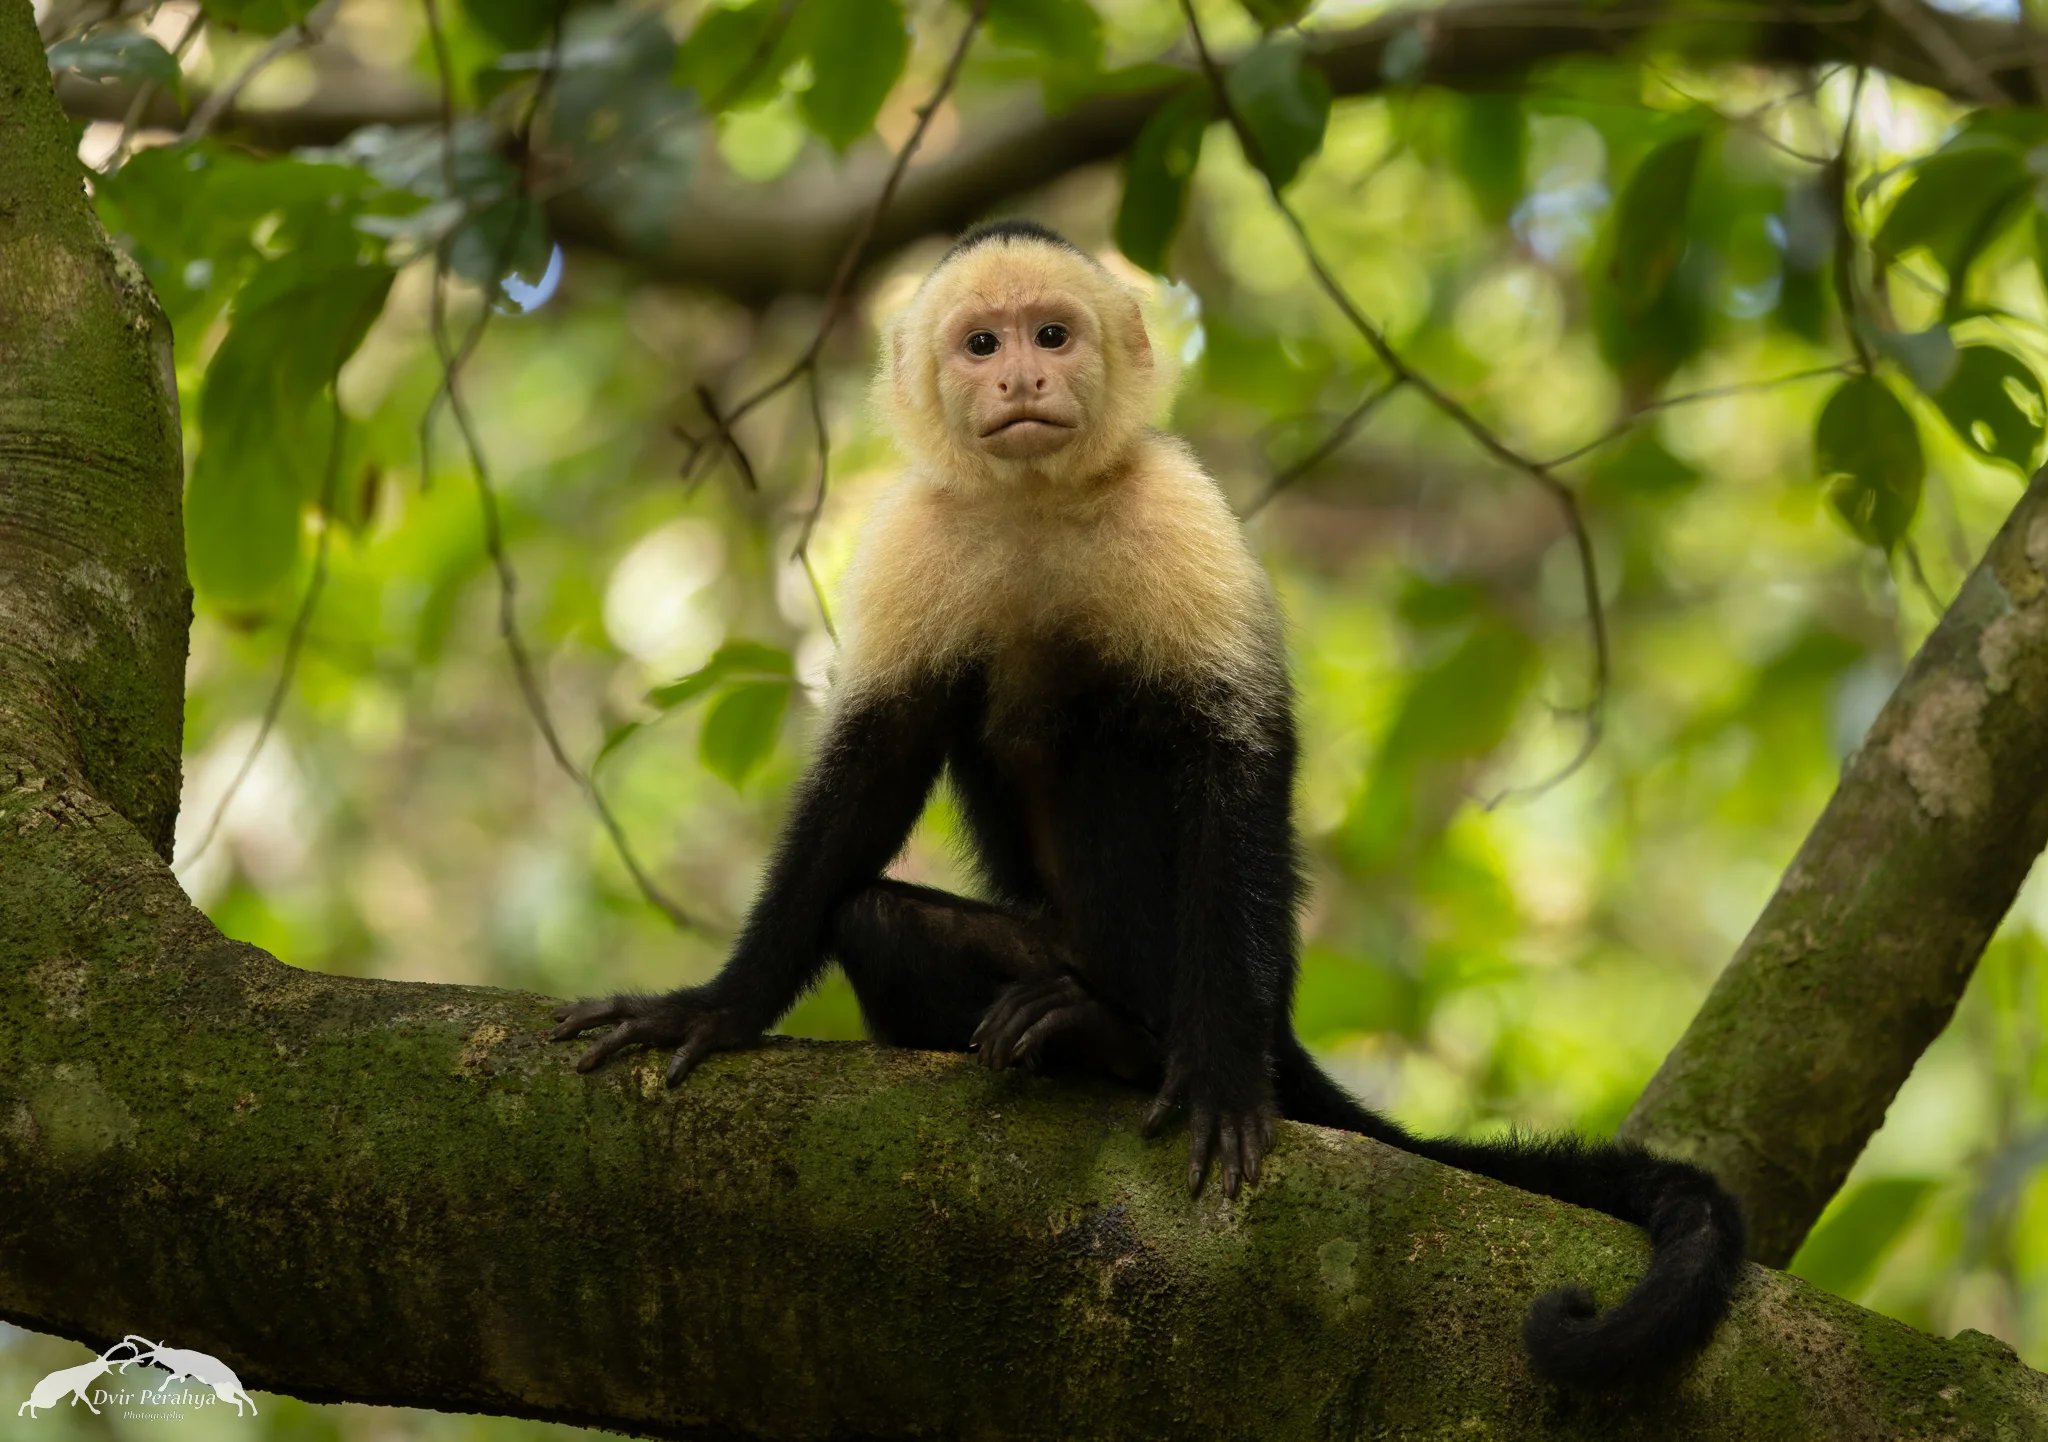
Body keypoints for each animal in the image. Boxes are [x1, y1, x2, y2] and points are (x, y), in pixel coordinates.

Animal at [550, 219, 1746, 1388]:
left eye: (1051, 333)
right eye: (980, 345)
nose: (1023, 376)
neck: (1037, 505)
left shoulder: (1177, 508)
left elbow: (1235, 756)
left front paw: (1215, 1075)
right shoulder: (912, 536)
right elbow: (870, 776)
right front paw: (714, 1007)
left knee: (1112, 732)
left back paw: (1128, 1038)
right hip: (1042, 942)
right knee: (877, 916)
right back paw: (1079, 1034)